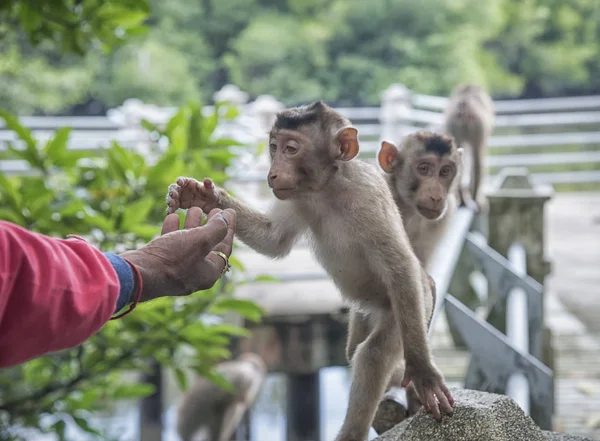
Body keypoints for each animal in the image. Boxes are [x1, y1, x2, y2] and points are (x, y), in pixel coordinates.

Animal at [166, 100, 452, 440]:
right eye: (274, 147)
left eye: (291, 148)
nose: (273, 172)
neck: (328, 188)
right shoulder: (297, 196)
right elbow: (273, 239)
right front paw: (203, 195)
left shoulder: (369, 196)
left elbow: (400, 268)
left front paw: (422, 371)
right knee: (357, 348)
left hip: (410, 308)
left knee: (374, 353)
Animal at [442, 84, 494, 213]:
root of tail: (465, 108)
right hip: (477, 125)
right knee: (478, 159)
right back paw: (475, 198)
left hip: (453, 124)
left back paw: (461, 198)